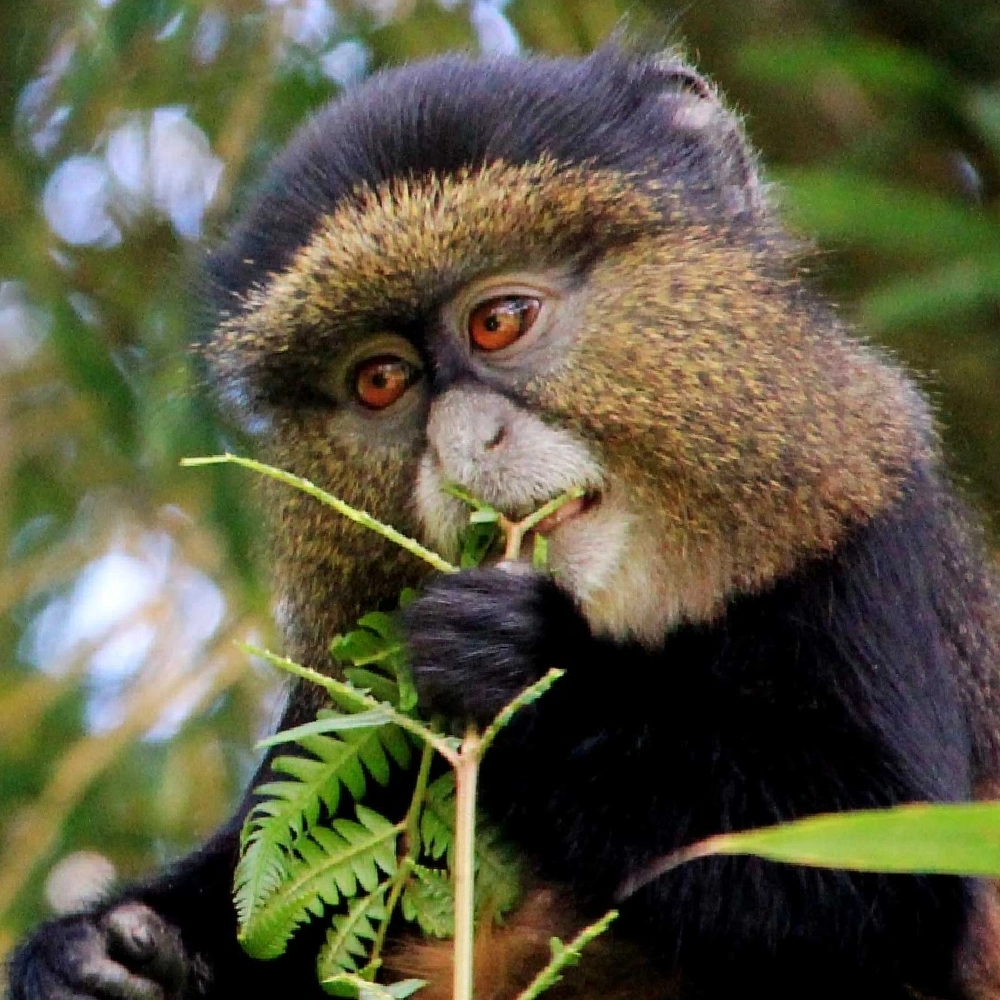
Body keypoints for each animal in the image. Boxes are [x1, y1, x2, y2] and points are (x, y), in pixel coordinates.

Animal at [9, 42, 1000, 1000]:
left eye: (499, 321)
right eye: (381, 379)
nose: (462, 445)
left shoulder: (868, 533)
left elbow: (878, 882)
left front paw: (522, 659)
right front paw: (92, 960)